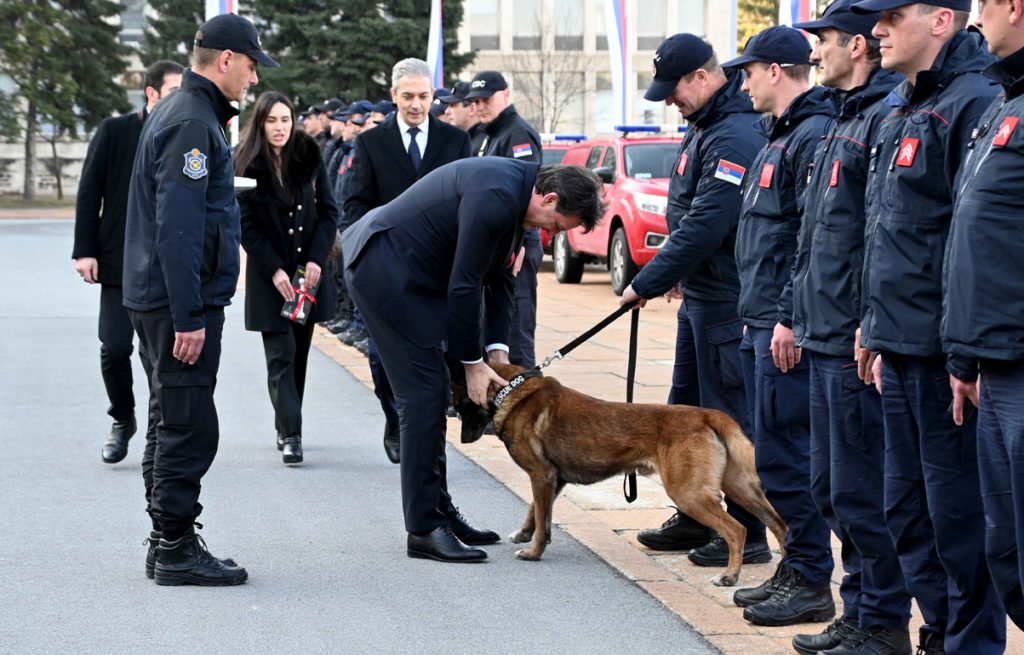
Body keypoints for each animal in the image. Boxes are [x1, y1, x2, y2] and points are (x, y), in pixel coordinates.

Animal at [452, 360, 786, 585]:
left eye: (458, 404)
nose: (463, 439)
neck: (512, 389)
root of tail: (707, 415)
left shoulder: (541, 476)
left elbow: (542, 521)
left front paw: (534, 552)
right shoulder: (551, 480)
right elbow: (535, 511)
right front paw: (524, 533)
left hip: (690, 494)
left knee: (736, 530)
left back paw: (730, 577)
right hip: (741, 489)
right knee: (780, 526)